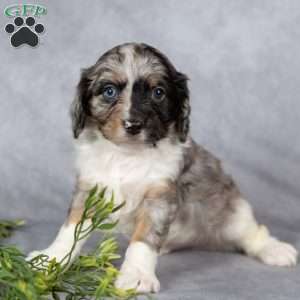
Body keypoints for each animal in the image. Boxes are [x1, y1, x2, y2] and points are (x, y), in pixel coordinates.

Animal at [28, 42, 298, 292]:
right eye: (109, 91)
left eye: (158, 93)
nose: (133, 125)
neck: (127, 156)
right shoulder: (90, 188)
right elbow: (70, 229)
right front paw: (51, 259)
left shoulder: (159, 196)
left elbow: (144, 240)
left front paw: (137, 275)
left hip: (233, 210)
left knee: (251, 232)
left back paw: (275, 249)